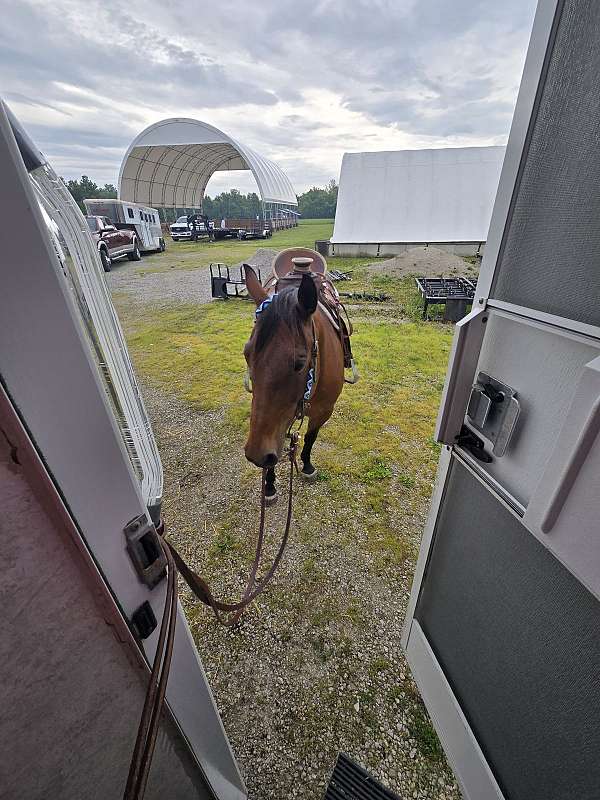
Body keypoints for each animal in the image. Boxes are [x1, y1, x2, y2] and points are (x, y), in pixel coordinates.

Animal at [243, 264, 345, 504]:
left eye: (300, 362)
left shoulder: (324, 410)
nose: (255, 453)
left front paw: (307, 465)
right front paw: (269, 485)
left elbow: (309, 437)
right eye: (246, 354)